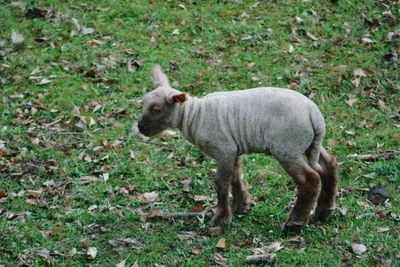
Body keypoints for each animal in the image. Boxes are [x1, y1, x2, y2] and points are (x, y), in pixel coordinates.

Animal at [138, 64, 338, 232]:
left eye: (156, 109)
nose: (141, 128)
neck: (194, 116)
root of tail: (314, 115)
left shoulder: (223, 149)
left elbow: (221, 182)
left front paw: (221, 218)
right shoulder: (232, 150)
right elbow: (235, 176)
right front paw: (240, 205)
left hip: (287, 148)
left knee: (310, 179)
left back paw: (295, 223)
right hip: (309, 144)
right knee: (328, 165)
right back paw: (323, 211)